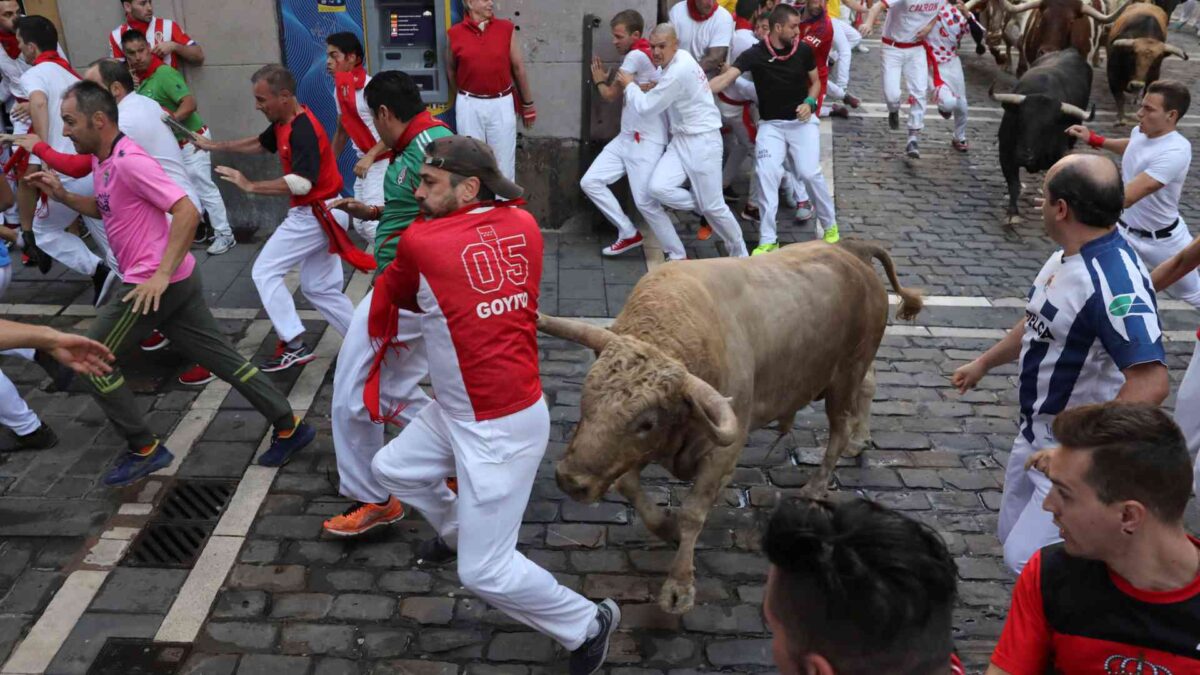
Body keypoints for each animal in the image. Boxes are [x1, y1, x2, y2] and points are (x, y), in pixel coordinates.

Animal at [540, 239, 921, 612]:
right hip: (856, 372)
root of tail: (852, 251)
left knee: (839, 430)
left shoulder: (720, 451)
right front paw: (665, 526)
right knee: (869, 386)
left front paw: (679, 586)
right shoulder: (632, 452)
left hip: (844, 377)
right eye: (586, 396)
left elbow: (694, 512)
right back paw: (861, 439)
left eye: (646, 422)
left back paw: (817, 484)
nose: (570, 480)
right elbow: (628, 486)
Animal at [988, 48, 1094, 225]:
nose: (1024, 155)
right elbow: (1013, 184)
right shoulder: (1006, 154)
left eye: (1048, 127)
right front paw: (1012, 213)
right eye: (1020, 120)